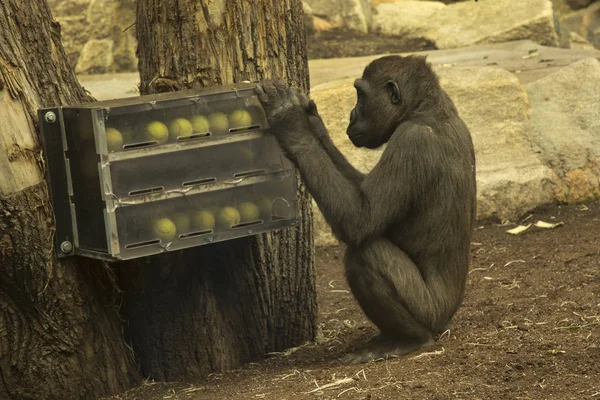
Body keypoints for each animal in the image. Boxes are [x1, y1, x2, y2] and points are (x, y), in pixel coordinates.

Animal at [255, 54, 476, 364]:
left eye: (361, 95)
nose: (351, 115)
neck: (426, 110)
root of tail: (448, 320)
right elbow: (360, 191)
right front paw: (314, 124)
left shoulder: (411, 141)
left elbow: (361, 219)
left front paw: (292, 124)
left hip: (431, 313)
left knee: (367, 253)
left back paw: (410, 340)